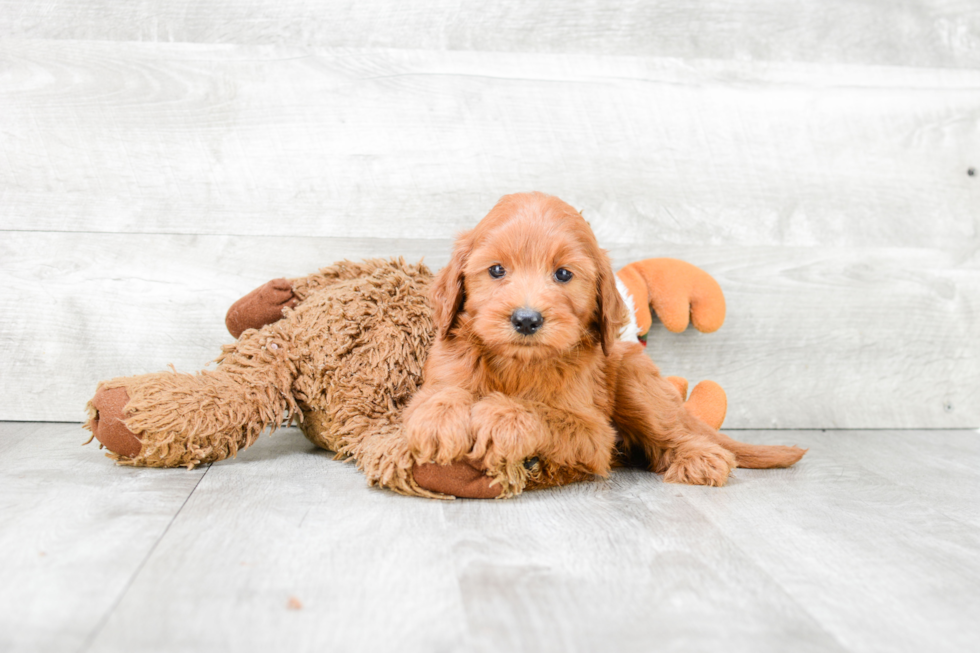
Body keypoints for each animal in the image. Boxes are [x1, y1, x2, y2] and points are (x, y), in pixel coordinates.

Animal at [402, 191, 808, 496]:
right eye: (497, 270)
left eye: (563, 274)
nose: (526, 319)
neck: (518, 363)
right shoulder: (445, 366)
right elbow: (438, 395)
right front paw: (439, 419)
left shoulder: (593, 432)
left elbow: (542, 411)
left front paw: (503, 415)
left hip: (633, 379)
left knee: (670, 434)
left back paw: (698, 458)